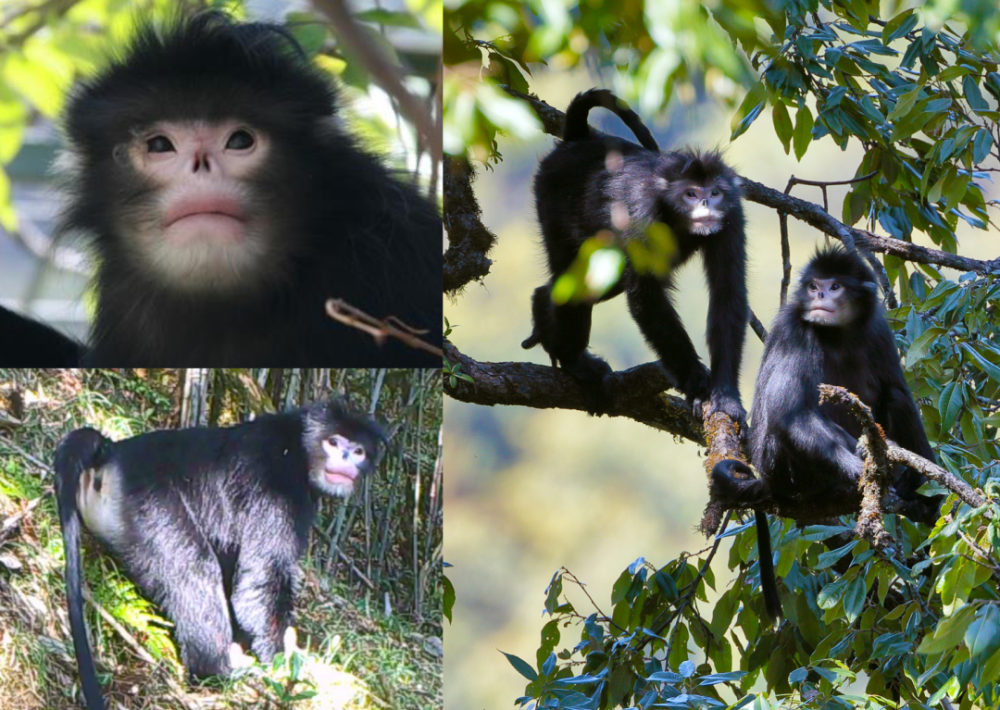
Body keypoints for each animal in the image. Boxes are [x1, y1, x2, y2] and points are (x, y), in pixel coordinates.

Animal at [524, 88, 752, 422]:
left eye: (714, 193)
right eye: (691, 194)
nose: (706, 206)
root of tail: (578, 138)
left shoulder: (732, 215)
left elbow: (728, 294)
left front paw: (726, 396)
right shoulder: (644, 214)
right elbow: (646, 295)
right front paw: (698, 385)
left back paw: (543, 310)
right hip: (554, 201)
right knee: (574, 277)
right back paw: (573, 359)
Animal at [712, 246, 936, 624]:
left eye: (835, 286)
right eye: (814, 285)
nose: (818, 296)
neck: (837, 333)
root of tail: (767, 480)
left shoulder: (877, 330)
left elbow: (898, 388)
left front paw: (924, 491)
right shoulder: (796, 330)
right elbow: (790, 414)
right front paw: (863, 471)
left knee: (894, 396)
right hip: (784, 469)